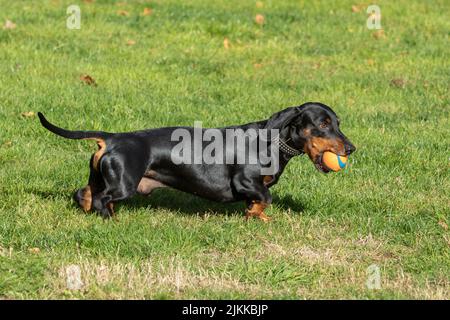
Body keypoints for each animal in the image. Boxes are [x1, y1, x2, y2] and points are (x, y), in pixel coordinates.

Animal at [38, 102, 356, 220]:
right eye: (323, 123)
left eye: (338, 122)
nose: (351, 148)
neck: (271, 141)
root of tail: (112, 138)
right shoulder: (244, 181)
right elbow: (265, 197)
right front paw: (256, 214)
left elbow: (260, 200)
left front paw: (254, 215)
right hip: (123, 185)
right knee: (102, 199)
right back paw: (111, 220)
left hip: (100, 178)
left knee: (84, 194)